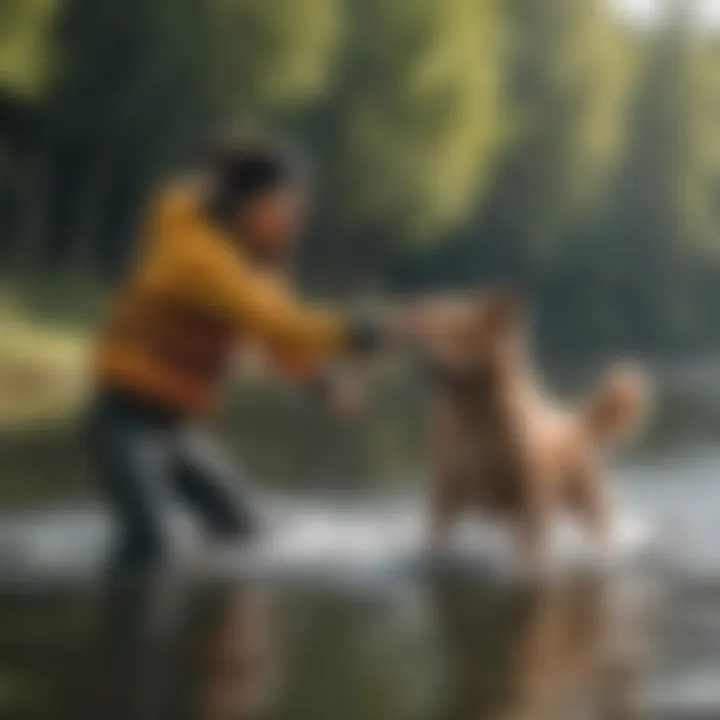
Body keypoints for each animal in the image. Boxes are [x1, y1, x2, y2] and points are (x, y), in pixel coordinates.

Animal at [416, 292, 648, 564]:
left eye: (464, 334)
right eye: (436, 332)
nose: (430, 361)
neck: (477, 420)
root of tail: (577, 424)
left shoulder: (530, 506)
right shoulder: (446, 501)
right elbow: (435, 539)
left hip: (588, 508)